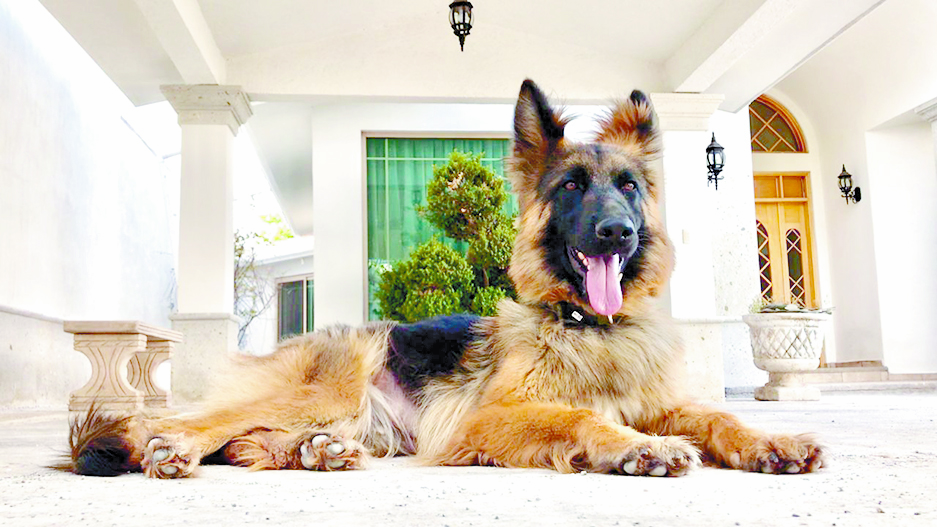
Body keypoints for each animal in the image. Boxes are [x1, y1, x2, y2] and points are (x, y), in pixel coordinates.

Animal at [59, 79, 824, 479]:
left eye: (629, 187)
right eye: (573, 187)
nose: (617, 233)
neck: (590, 328)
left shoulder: (660, 399)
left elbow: (719, 414)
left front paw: (771, 441)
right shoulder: (498, 413)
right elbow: (581, 415)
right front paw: (639, 448)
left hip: (340, 412)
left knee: (249, 441)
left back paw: (315, 452)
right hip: (329, 384)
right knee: (186, 422)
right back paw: (178, 446)